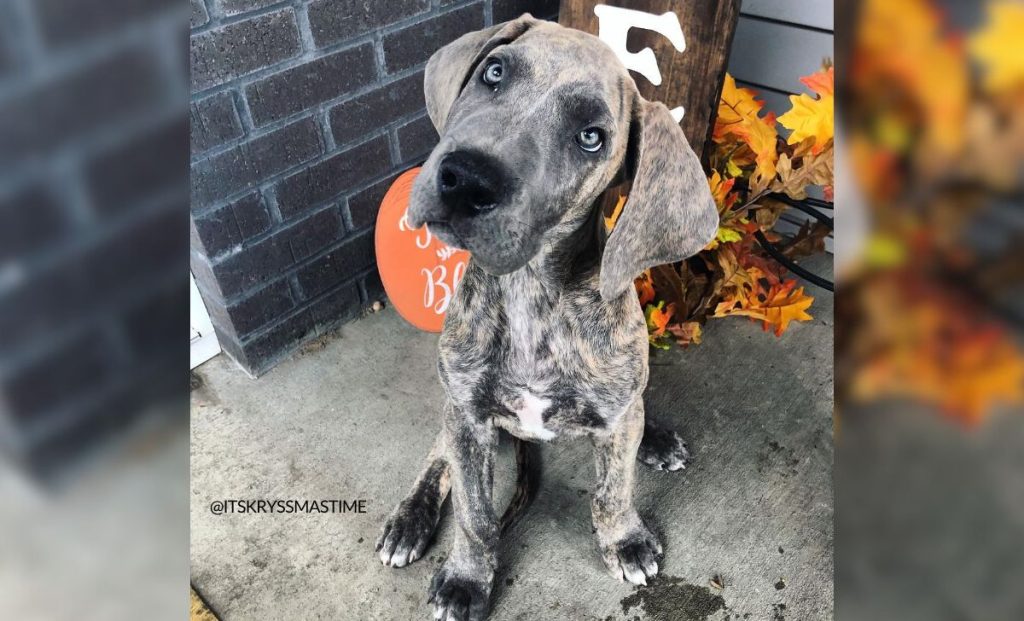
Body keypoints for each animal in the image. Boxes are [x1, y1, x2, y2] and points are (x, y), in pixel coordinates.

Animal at [372, 14, 716, 621]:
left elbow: (613, 489)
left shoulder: (616, 412)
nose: (465, 178)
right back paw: (409, 519)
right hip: (453, 409)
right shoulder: (468, 417)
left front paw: (625, 539)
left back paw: (655, 440)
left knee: (636, 412)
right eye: (493, 72)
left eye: (591, 137)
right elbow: (475, 511)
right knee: (436, 459)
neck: (529, 292)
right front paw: (466, 578)